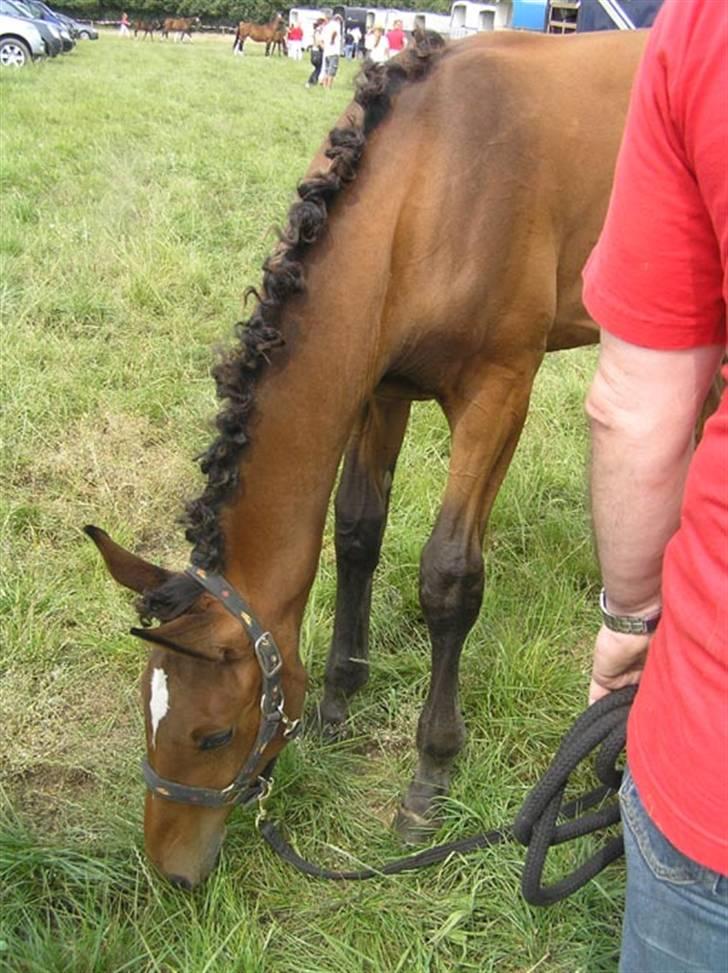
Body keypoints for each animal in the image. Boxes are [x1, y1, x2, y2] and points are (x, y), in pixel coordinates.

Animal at [86, 30, 648, 884]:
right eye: (144, 712)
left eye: (214, 734)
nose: (172, 869)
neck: (435, 176)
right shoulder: (383, 386)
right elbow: (356, 531)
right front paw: (337, 701)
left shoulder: (498, 392)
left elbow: (448, 575)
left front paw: (430, 773)